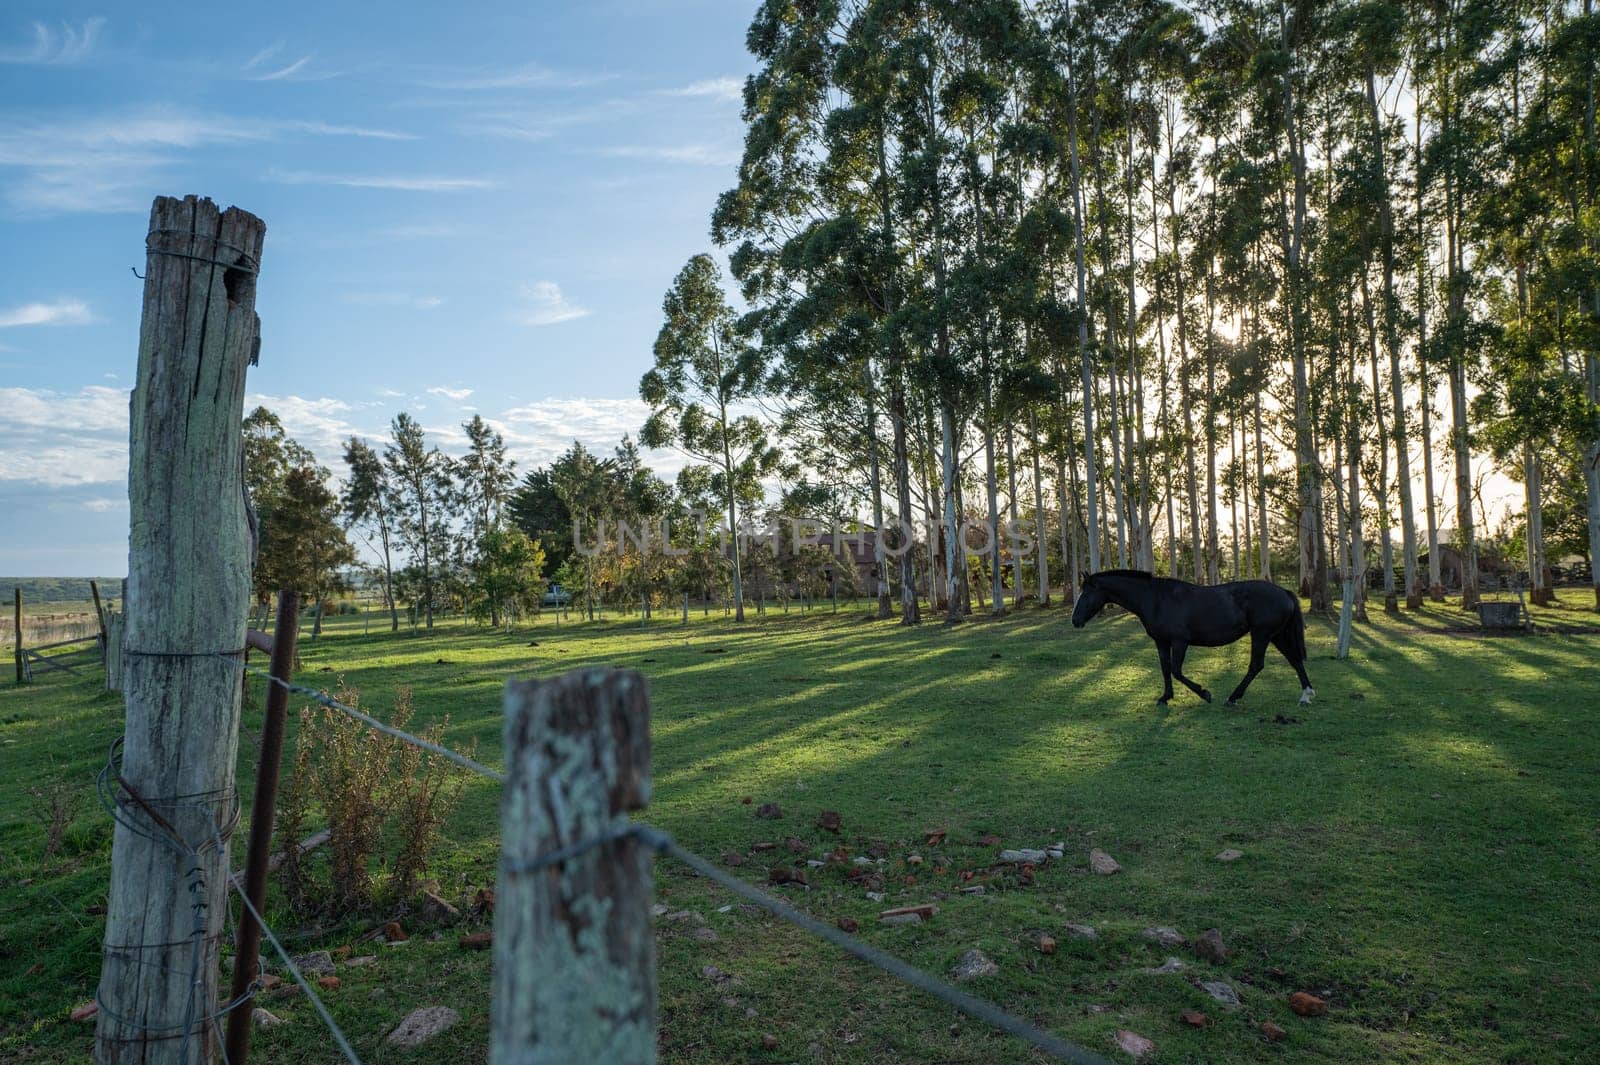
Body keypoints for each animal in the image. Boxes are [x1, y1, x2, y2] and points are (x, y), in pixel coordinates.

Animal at [1075, 562, 1312, 703]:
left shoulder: (1180, 641)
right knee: (1294, 660)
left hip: (1262, 634)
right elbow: (1165, 669)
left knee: (1257, 665)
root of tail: (1284, 592)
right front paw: (1165, 697)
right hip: (1276, 635)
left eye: (1085, 594)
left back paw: (1233, 697)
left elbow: (1176, 671)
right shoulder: (1161, 642)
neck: (1157, 599)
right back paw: (1306, 695)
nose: (1074, 620)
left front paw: (1204, 693)